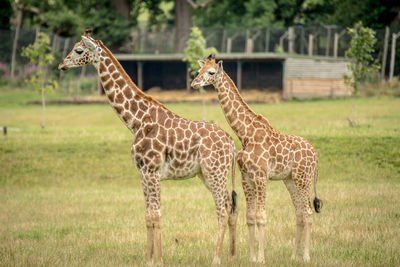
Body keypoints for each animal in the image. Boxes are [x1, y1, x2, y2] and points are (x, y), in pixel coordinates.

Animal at [58, 31, 238, 266]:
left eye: (79, 50)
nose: (62, 65)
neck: (136, 121)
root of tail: (232, 144)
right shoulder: (142, 172)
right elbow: (147, 216)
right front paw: (149, 259)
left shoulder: (152, 171)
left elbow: (157, 214)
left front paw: (159, 260)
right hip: (208, 175)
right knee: (231, 205)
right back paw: (232, 256)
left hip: (215, 172)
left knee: (223, 208)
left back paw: (216, 258)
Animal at [191, 54, 322, 264]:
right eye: (198, 71)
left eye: (211, 72)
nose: (194, 83)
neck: (245, 134)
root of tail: (316, 156)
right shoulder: (246, 177)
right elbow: (250, 216)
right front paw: (252, 257)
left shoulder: (261, 176)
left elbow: (261, 216)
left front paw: (261, 258)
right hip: (290, 180)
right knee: (300, 213)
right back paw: (293, 256)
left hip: (303, 177)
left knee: (308, 212)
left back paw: (306, 256)